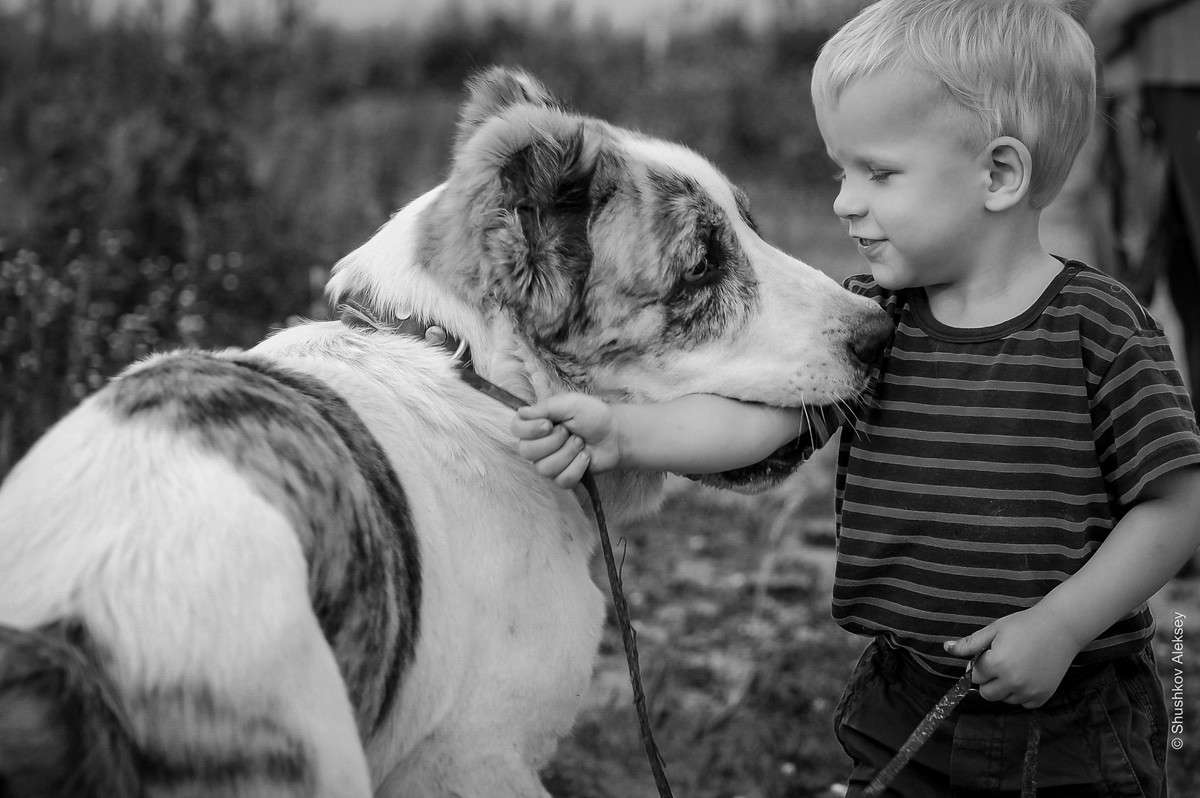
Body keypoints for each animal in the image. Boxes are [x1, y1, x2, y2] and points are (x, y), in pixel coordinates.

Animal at [0, 69, 883, 796]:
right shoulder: (476, 761)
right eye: (701, 265)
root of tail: (69, 627)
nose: (879, 335)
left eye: (751, 226)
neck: (476, 381)